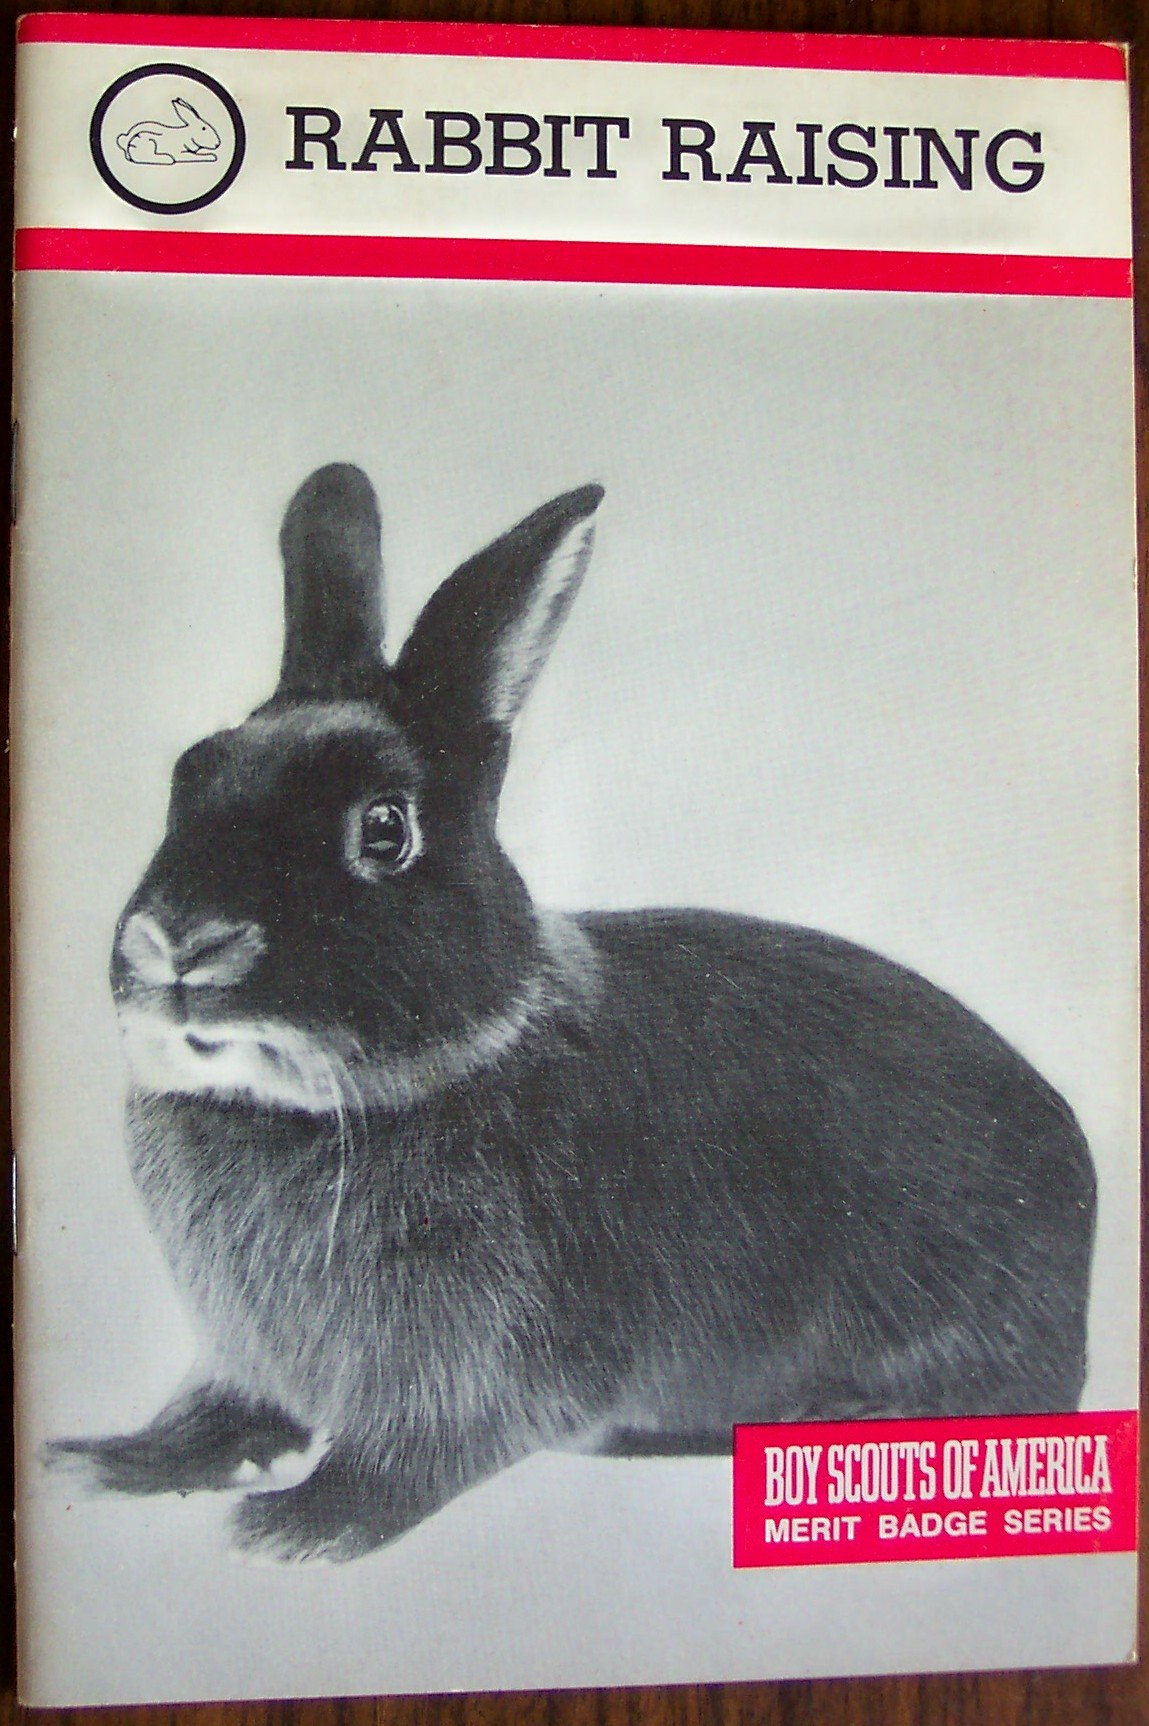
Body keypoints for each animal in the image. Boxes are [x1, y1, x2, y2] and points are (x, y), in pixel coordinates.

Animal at [48, 464, 1096, 1562]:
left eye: (384, 829)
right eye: (189, 775)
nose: (179, 945)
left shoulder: (486, 1356)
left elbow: (419, 1450)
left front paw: (299, 1525)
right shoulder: (245, 1355)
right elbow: (215, 1416)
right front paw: (106, 1462)